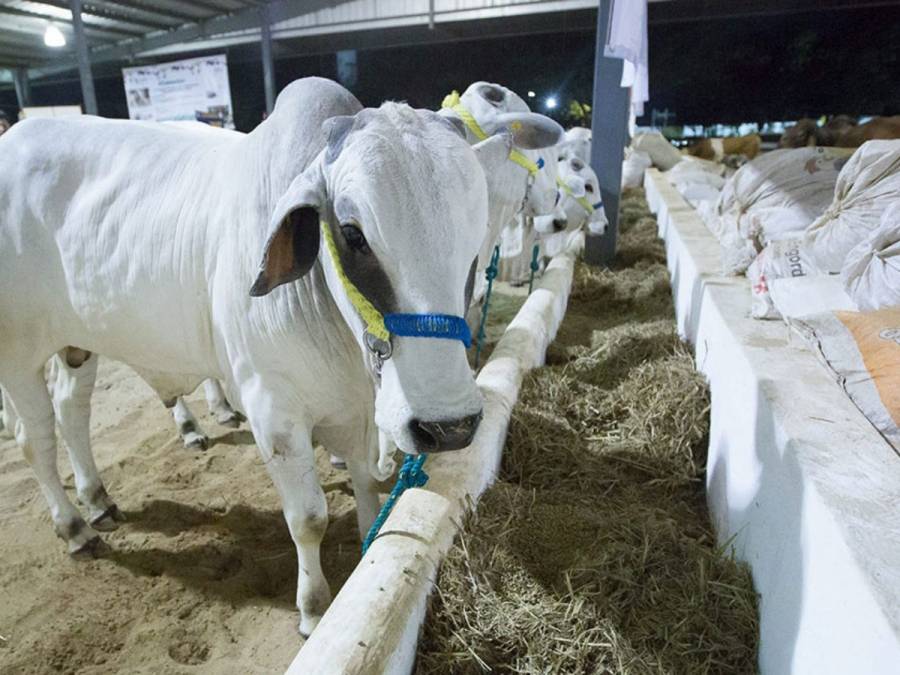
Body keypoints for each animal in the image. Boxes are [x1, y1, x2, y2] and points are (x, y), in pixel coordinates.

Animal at [0, 78, 548, 632]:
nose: (448, 426)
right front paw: (314, 606)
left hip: (77, 345)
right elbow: (308, 518)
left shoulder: (356, 410)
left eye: (474, 234)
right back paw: (75, 526)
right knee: (35, 440)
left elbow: (365, 482)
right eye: (353, 234)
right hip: (17, 352)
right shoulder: (273, 412)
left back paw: (97, 499)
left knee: (71, 412)